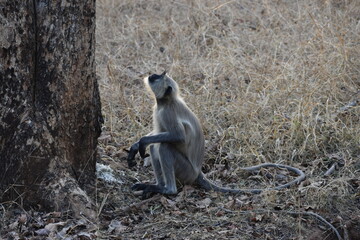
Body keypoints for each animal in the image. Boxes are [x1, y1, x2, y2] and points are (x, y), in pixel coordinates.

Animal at [128, 71, 306, 195]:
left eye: (159, 77)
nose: (152, 75)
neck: (166, 101)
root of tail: (198, 172)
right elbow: (157, 134)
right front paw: (137, 145)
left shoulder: (167, 113)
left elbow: (177, 136)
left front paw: (142, 142)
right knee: (155, 146)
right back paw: (158, 185)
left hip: (186, 170)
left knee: (164, 146)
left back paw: (168, 190)